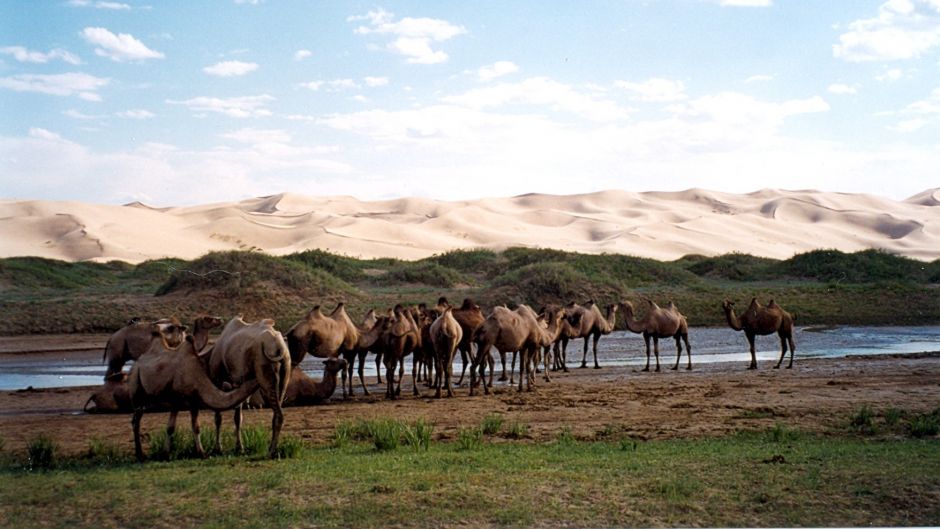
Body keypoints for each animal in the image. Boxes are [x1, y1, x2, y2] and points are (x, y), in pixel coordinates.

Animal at [126, 330, 260, 462]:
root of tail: (137, 362)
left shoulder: (194, 402)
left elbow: (196, 426)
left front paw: (200, 453)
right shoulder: (175, 400)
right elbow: (170, 427)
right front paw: (166, 454)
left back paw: (140, 454)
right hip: (135, 382)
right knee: (136, 419)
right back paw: (140, 455)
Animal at [208, 318, 290, 458]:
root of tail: (279, 347)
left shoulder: (218, 380)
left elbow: (218, 417)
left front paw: (218, 449)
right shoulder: (238, 384)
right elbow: (238, 417)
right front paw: (239, 448)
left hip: (265, 371)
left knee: (278, 413)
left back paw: (271, 452)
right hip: (285, 371)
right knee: (277, 410)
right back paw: (272, 449)